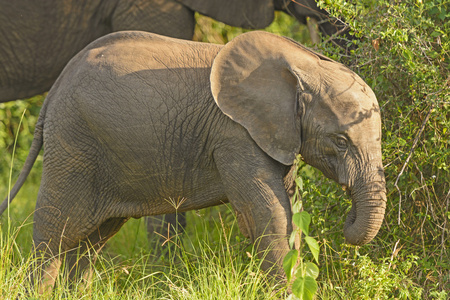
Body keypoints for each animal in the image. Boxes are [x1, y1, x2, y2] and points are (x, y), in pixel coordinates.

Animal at [1, 30, 384, 290]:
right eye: (340, 141)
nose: (347, 217)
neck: (304, 63)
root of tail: (53, 91)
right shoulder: (235, 135)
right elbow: (270, 213)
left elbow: (289, 207)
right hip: (74, 144)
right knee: (55, 232)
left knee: (93, 240)